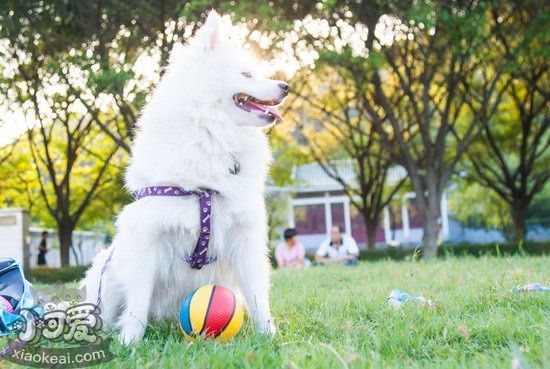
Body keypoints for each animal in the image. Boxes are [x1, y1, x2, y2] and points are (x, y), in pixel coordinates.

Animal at [83, 10, 288, 344]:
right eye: (247, 74)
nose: (286, 86)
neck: (211, 133)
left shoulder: (244, 237)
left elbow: (259, 297)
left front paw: (270, 336)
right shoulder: (149, 237)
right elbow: (137, 303)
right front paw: (130, 342)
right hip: (108, 276)